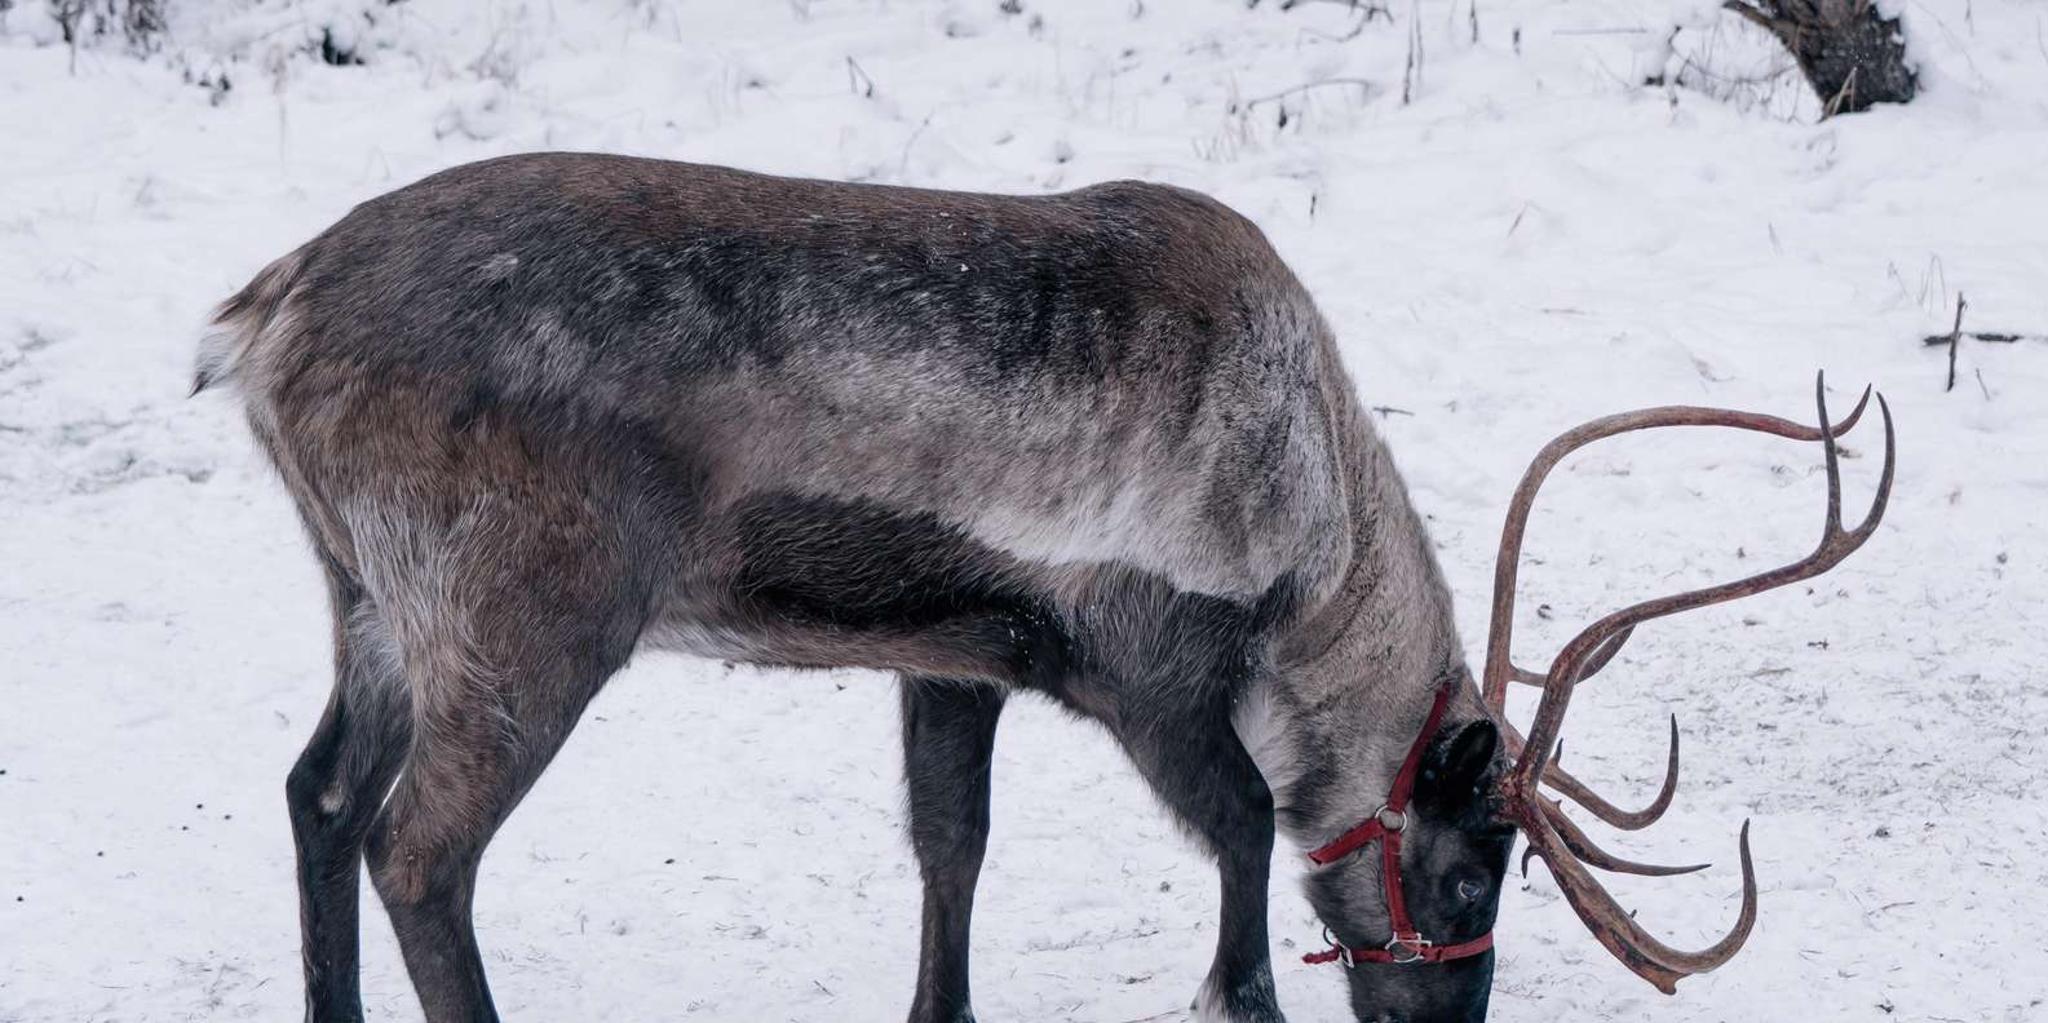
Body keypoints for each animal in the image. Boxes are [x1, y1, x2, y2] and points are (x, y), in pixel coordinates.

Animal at [194, 153, 1894, 1023]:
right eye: (1477, 869)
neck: (1309, 539)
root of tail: (262, 317)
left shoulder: (953, 659)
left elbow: (952, 851)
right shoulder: (1147, 662)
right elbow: (1243, 836)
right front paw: (1242, 995)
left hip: (369, 601)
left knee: (317, 795)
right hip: (523, 618)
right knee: (419, 849)